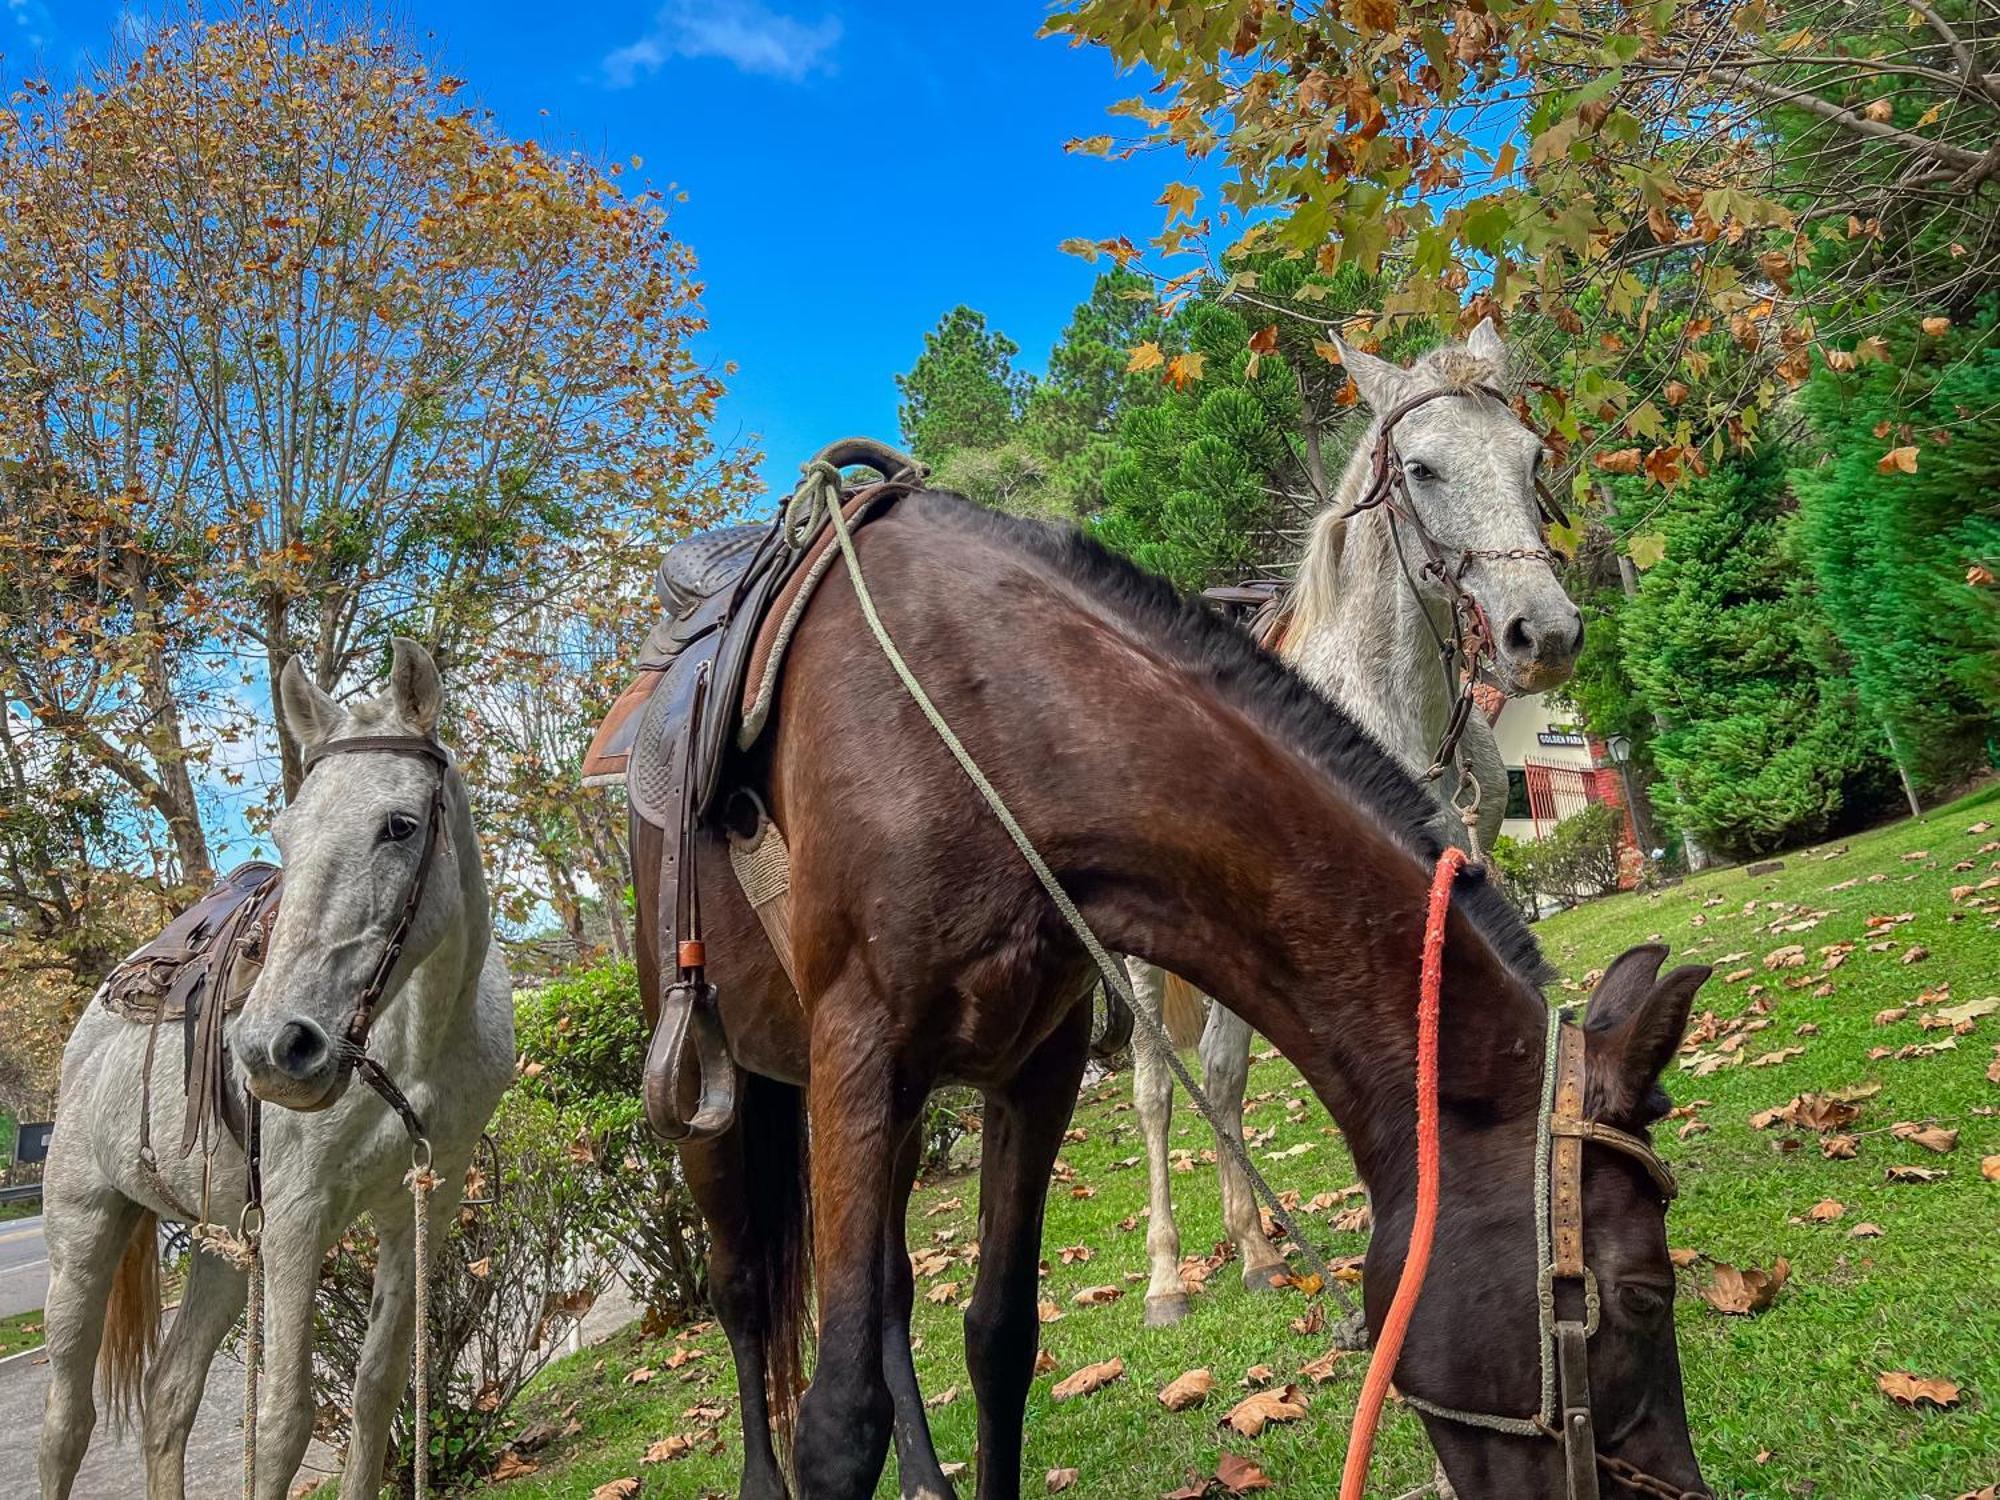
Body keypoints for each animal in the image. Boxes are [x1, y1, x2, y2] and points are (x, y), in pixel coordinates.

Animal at [39, 644, 516, 1500]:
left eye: (399, 826)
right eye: (288, 838)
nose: (272, 1050)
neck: (412, 1045)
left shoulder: (417, 1207)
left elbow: (377, 1388)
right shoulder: (299, 1219)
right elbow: (284, 1420)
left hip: (225, 1245)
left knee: (169, 1394)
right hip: (84, 1234)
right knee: (67, 1425)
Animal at [644, 496, 1720, 1500]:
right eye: (1640, 1296)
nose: (1684, 1489)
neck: (982, 731)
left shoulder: (1033, 1072)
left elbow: (998, 1339)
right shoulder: (859, 1060)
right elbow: (835, 1423)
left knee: (894, 1295)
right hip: (727, 1106)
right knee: (743, 1294)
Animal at [1136, 320, 1584, 1328]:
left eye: (1531, 457)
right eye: (1420, 468)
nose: (1544, 635)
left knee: (1220, 1077)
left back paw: (1259, 1254)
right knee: (1155, 1088)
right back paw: (1167, 1278)